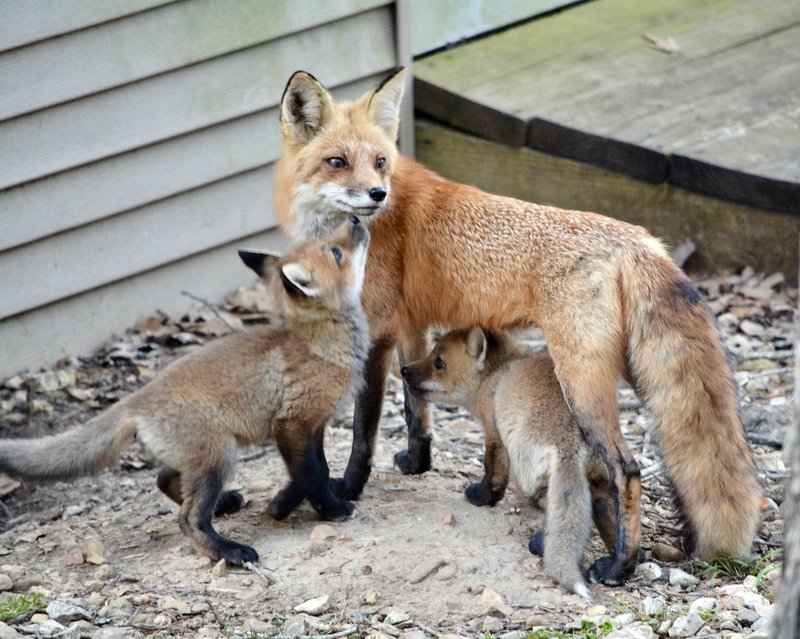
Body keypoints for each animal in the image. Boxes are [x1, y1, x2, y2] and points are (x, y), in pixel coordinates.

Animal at [0, 217, 370, 566]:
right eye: (336, 252)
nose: (354, 220)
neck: (320, 344)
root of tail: (138, 397)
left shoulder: (314, 425)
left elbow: (317, 471)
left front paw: (299, 504)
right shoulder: (292, 423)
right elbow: (310, 474)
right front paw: (312, 508)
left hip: (201, 457)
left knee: (163, 478)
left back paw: (224, 504)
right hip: (219, 457)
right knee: (188, 518)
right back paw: (229, 551)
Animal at [401, 327, 623, 598]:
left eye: (439, 362)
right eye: (432, 353)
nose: (404, 370)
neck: (496, 374)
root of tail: (569, 442)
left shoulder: (494, 432)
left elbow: (493, 474)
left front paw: (480, 497)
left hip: (524, 461)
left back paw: (541, 540)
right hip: (600, 477)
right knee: (602, 509)